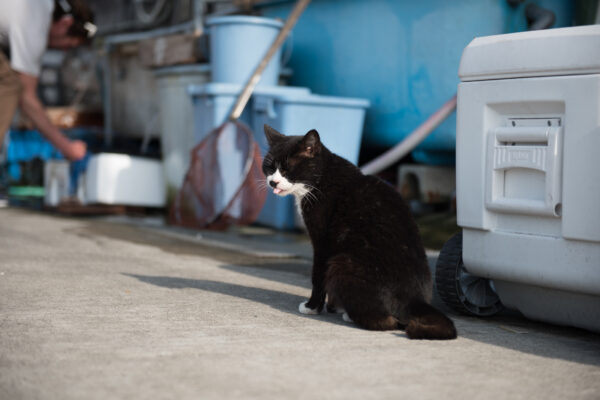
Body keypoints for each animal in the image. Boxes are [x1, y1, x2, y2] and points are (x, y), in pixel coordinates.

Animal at [262, 126, 454, 340]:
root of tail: (415, 300)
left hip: (342, 263)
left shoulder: (323, 242)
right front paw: (334, 306)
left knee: (388, 323)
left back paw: (354, 316)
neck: (322, 177)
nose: (273, 182)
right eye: (269, 167)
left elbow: (318, 275)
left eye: (287, 169)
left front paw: (312, 307)